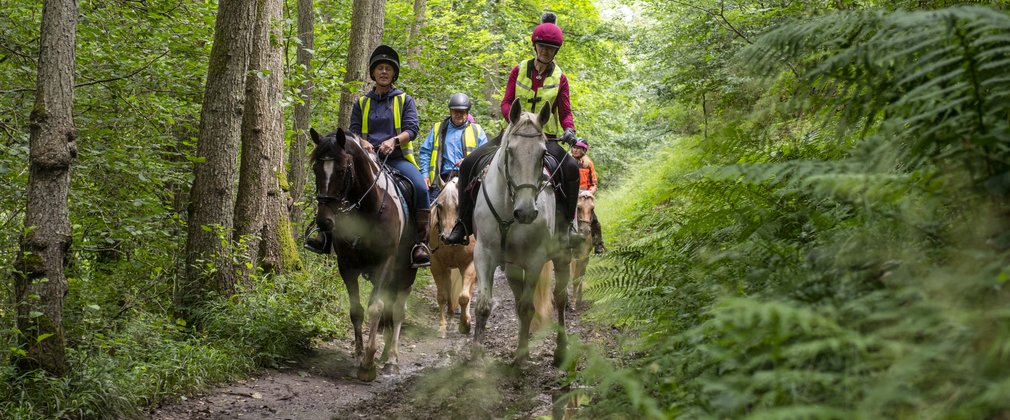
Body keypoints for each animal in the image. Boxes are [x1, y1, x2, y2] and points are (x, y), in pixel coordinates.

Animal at [309, 127, 416, 379]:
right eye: (316, 168)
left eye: (342, 170)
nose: (324, 222)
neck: (368, 209)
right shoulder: (347, 265)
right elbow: (356, 310)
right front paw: (359, 355)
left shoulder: (385, 263)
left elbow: (375, 308)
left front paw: (368, 364)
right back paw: (385, 356)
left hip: (406, 271)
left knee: (398, 311)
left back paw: (392, 359)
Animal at [428, 176, 478, 337]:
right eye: (439, 206)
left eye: (459, 206)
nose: (446, 237)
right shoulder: (437, 266)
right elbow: (442, 296)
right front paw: (442, 327)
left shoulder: (469, 264)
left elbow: (464, 297)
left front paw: (465, 324)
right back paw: (450, 313)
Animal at [470, 98, 569, 363]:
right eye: (510, 151)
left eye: (543, 153)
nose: (525, 212)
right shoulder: (484, 253)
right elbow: (483, 304)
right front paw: (475, 352)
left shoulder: (535, 259)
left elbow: (527, 308)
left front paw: (522, 355)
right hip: (513, 267)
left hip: (561, 256)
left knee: (560, 298)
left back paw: (562, 351)